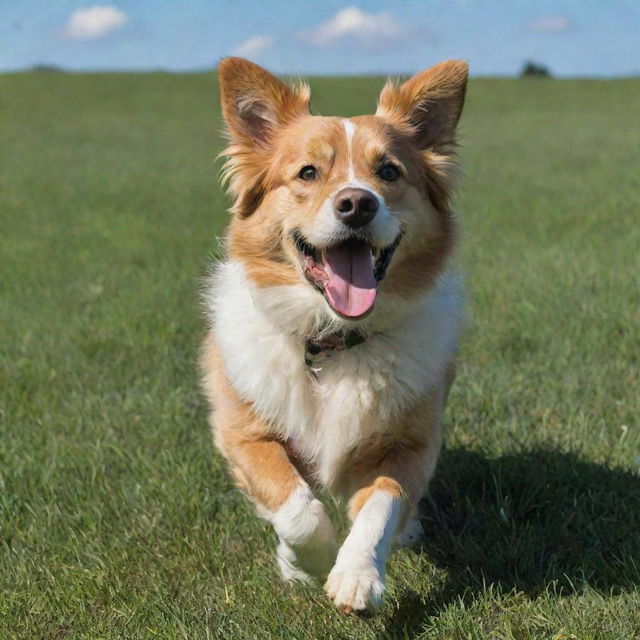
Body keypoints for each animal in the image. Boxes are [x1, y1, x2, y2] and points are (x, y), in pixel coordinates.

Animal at [202, 57, 468, 612]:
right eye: (307, 172)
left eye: (388, 171)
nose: (356, 204)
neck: (331, 342)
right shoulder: (243, 433)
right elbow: (298, 509)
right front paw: (305, 562)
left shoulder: (410, 443)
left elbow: (380, 506)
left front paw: (356, 575)